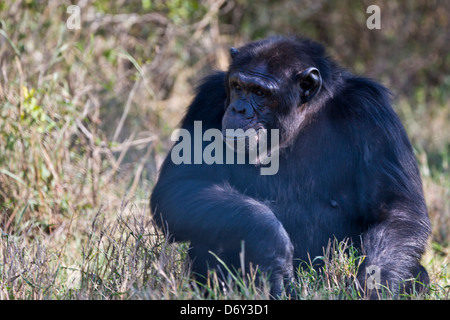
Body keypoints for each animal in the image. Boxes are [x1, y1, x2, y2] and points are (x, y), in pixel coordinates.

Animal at [150, 35, 432, 298]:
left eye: (260, 93)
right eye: (237, 86)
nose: (239, 109)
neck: (302, 116)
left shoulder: (372, 112)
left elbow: (396, 209)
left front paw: (372, 289)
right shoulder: (206, 100)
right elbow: (179, 185)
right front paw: (270, 245)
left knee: (416, 272)